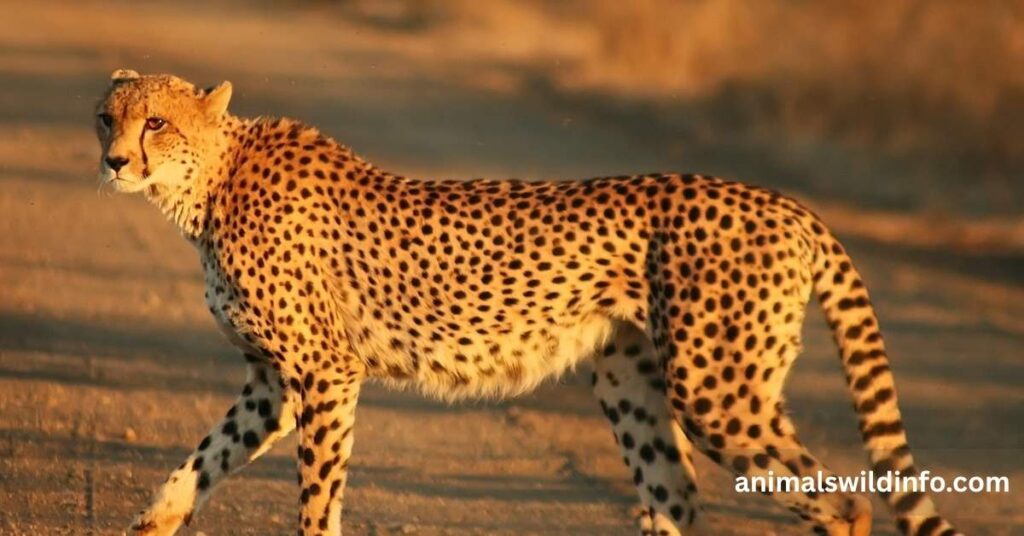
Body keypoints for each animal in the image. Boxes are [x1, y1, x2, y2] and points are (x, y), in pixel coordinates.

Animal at [94, 69, 963, 536]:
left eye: (157, 123)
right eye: (109, 117)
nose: (112, 161)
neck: (208, 185)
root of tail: (785, 203)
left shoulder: (325, 373)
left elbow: (318, 494)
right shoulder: (274, 383)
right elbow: (204, 458)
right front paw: (153, 519)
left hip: (717, 390)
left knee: (842, 502)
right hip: (631, 381)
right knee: (675, 499)